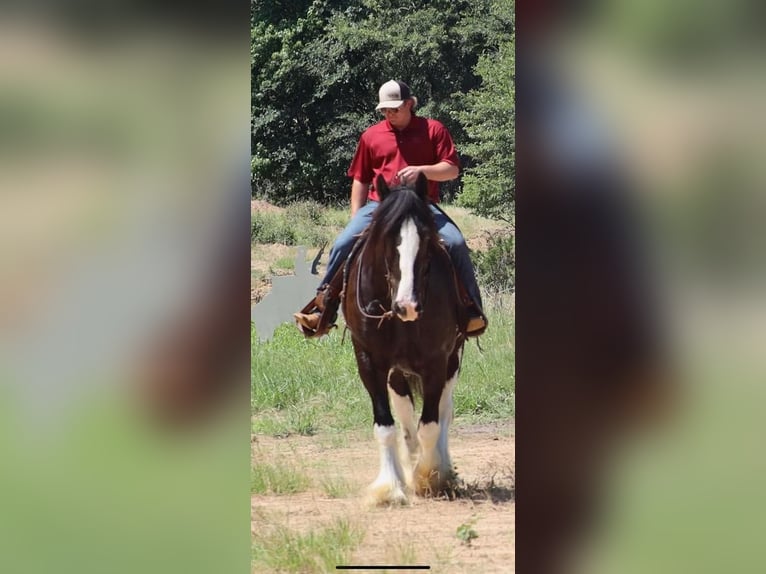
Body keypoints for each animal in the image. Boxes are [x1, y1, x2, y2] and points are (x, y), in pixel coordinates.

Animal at [342, 173, 468, 506]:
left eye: (426, 239)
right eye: (387, 238)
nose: (407, 306)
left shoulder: (437, 361)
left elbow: (431, 425)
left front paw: (430, 477)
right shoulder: (370, 361)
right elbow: (387, 426)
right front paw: (391, 486)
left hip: (453, 360)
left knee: (444, 411)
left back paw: (440, 467)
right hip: (397, 372)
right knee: (406, 417)